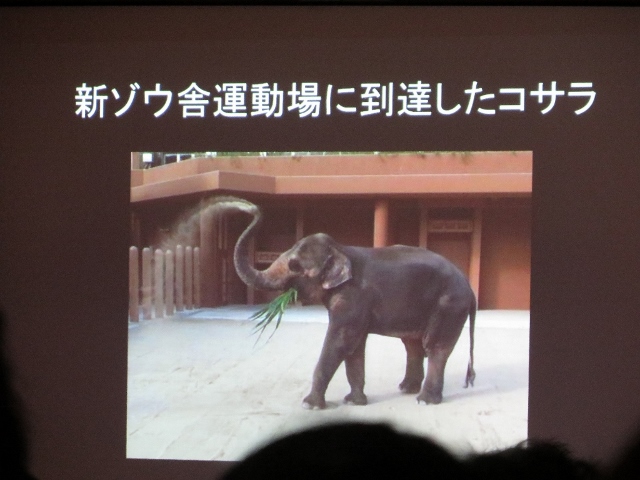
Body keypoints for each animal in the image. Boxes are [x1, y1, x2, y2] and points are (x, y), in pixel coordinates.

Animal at [220, 195, 476, 408]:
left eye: (294, 266)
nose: (249, 207)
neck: (340, 249)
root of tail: (470, 288)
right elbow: (354, 346)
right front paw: (354, 401)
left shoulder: (354, 296)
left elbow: (340, 340)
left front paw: (310, 405)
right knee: (412, 345)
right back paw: (406, 389)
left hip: (449, 305)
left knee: (435, 347)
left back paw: (424, 400)